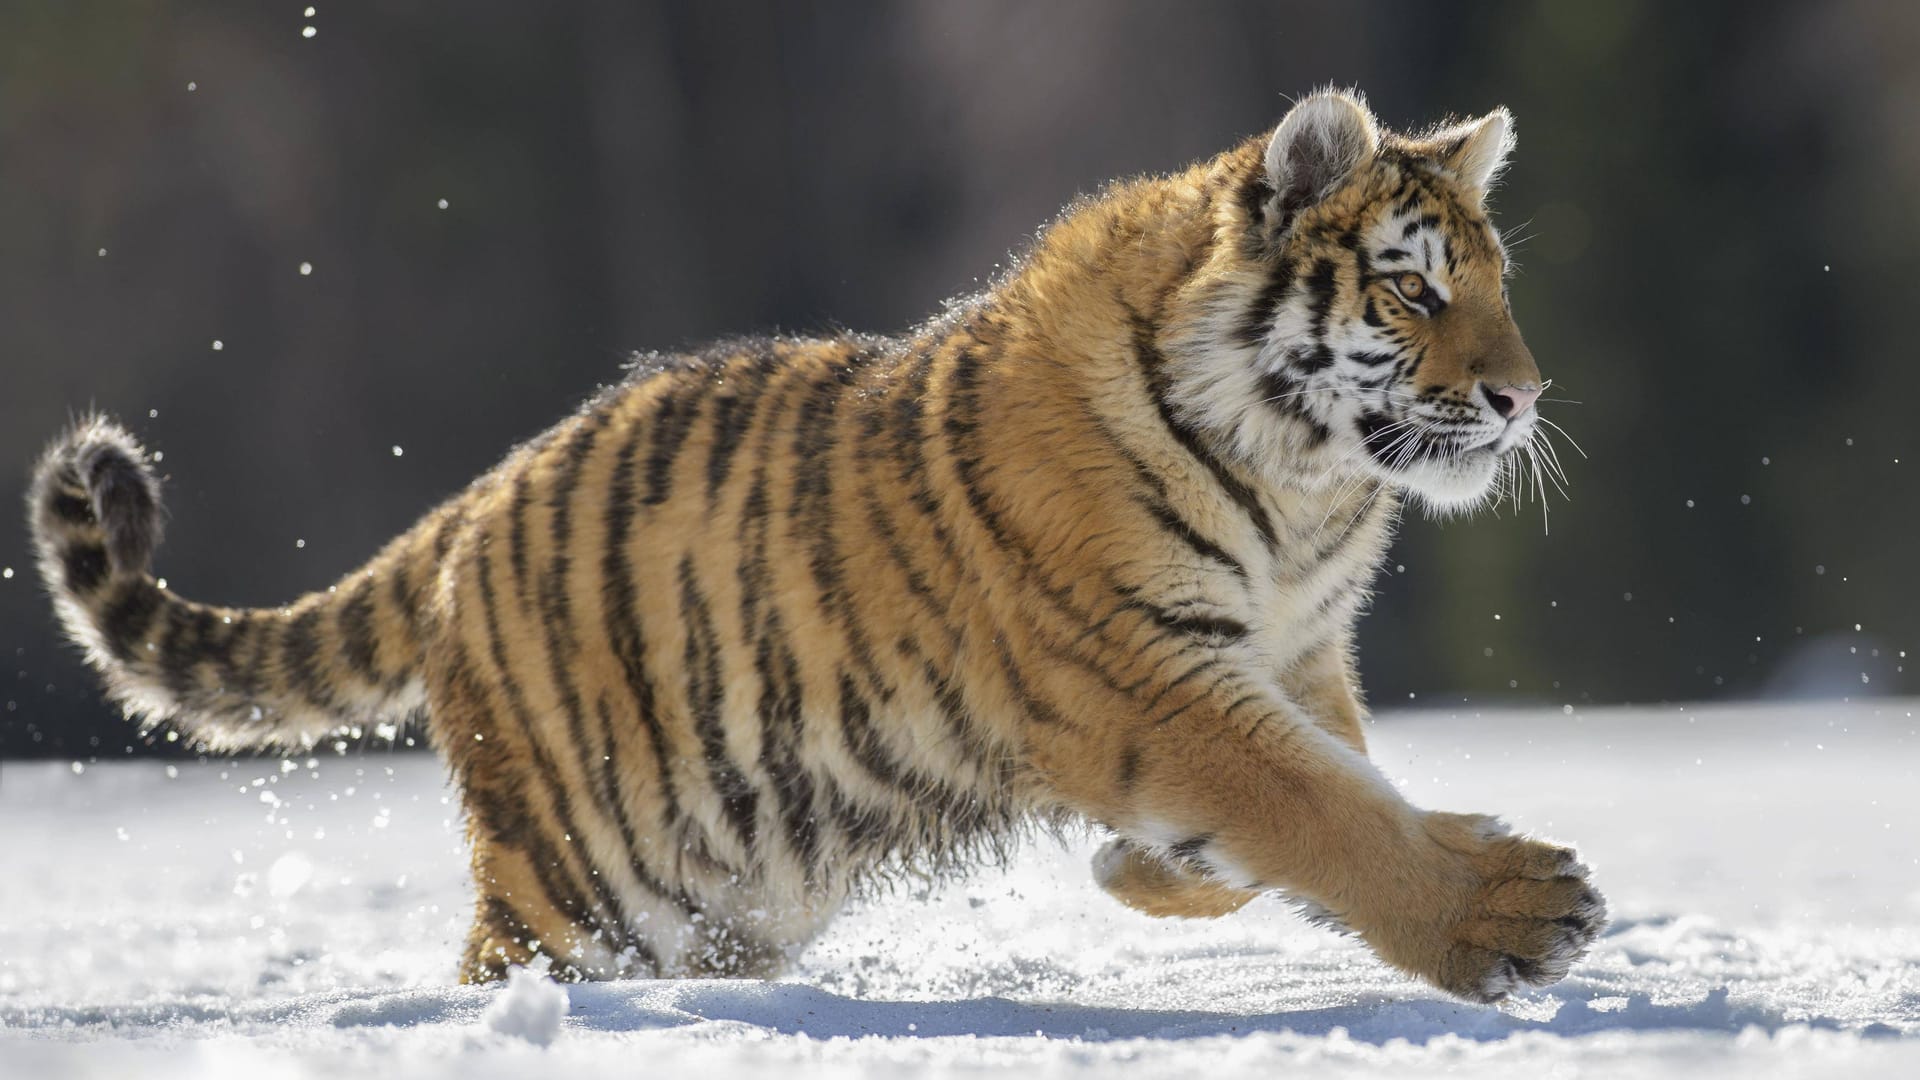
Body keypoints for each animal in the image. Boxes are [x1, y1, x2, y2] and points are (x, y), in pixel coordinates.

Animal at [28, 89, 1604, 1003]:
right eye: (1413, 289)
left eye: (1499, 285)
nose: (1526, 396)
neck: (1303, 485)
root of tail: (469, 509)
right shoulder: (1140, 678)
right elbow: (1322, 808)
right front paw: (1512, 913)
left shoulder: (1291, 653)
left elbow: (1336, 786)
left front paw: (1143, 874)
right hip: (576, 879)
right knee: (503, 964)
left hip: (724, 877)